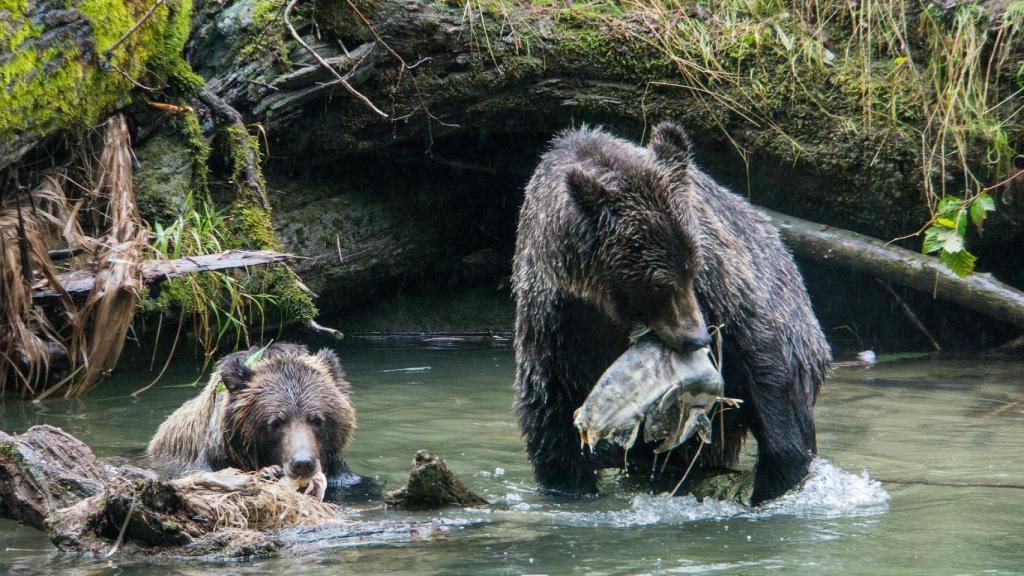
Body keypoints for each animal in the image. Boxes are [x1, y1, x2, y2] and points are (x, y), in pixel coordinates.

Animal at [146, 342, 365, 500]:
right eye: (276, 422)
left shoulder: (342, 475)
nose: (303, 463)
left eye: (317, 420)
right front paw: (269, 472)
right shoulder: (210, 460)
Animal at [512, 122, 831, 504]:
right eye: (657, 283)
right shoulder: (556, 314)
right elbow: (550, 401)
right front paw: (568, 483)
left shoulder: (720, 284)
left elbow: (761, 358)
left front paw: (777, 475)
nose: (697, 337)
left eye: (693, 268)